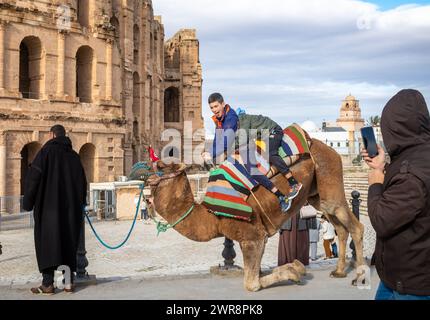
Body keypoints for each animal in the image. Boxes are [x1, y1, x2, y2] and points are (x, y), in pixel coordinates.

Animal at [146, 139, 364, 292]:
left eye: (161, 166)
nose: (146, 177)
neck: (213, 217)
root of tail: (328, 149)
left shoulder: (251, 237)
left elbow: (252, 283)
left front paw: (293, 271)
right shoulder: (261, 236)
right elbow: (260, 271)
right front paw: (295, 267)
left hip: (329, 178)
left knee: (355, 226)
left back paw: (359, 276)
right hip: (317, 195)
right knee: (340, 228)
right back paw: (339, 271)